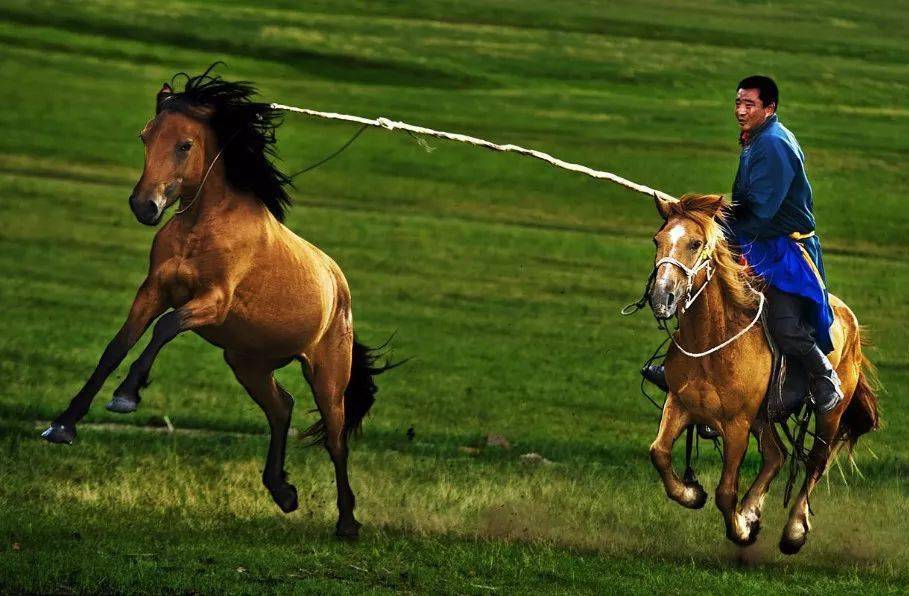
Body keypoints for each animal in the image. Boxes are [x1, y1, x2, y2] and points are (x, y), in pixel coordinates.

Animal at [40, 70, 390, 540]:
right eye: (145, 136)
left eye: (184, 144)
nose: (144, 206)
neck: (203, 227)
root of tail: (338, 286)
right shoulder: (152, 292)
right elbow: (116, 346)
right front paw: (64, 424)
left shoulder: (213, 302)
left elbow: (165, 328)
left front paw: (127, 396)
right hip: (248, 364)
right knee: (282, 408)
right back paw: (282, 491)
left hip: (327, 377)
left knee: (336, 441)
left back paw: (347, 522)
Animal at [640, 194, 876, 556]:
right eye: (658, 239)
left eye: (695, 243)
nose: (661, 296)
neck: (713, 338)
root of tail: (849, 319)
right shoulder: (679, 404)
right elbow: (659, 453)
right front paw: (692, 495)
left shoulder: (736, 424)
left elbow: (726, 492)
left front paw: (739, 529)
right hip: (762, 416)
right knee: (777, 456)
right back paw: (752, 511)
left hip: (830, 415)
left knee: (815, 463)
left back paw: (793, 530)